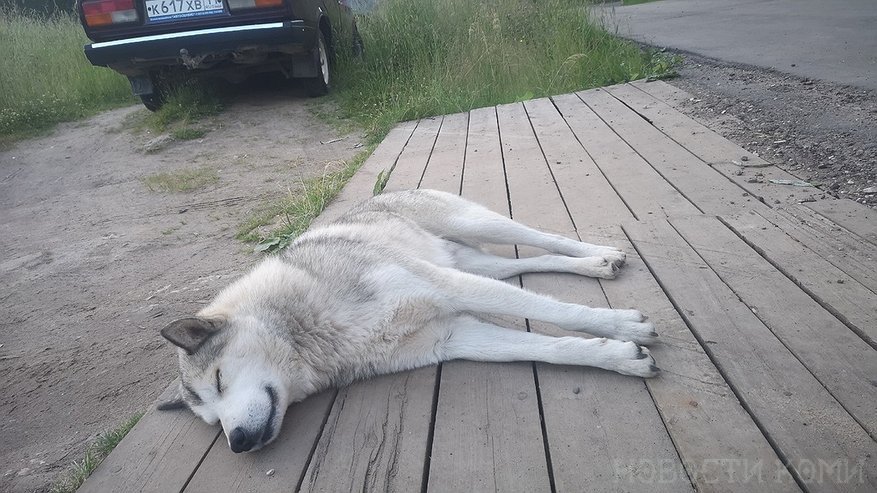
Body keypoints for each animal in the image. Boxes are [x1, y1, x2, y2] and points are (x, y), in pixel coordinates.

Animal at [157, 189, 652, 454]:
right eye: (212, 421)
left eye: (219, 381)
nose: (237, 442)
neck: (311, 332)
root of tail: (380, 193)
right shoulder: (453, 335)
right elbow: (548, 348)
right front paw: (620, 357)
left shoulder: (448, 288)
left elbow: (559, 313)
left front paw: (624, 327)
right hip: (477, 265)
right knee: (534, 262)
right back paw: (596, 266)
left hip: (478, 230)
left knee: (543, 238)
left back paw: (600, 252)